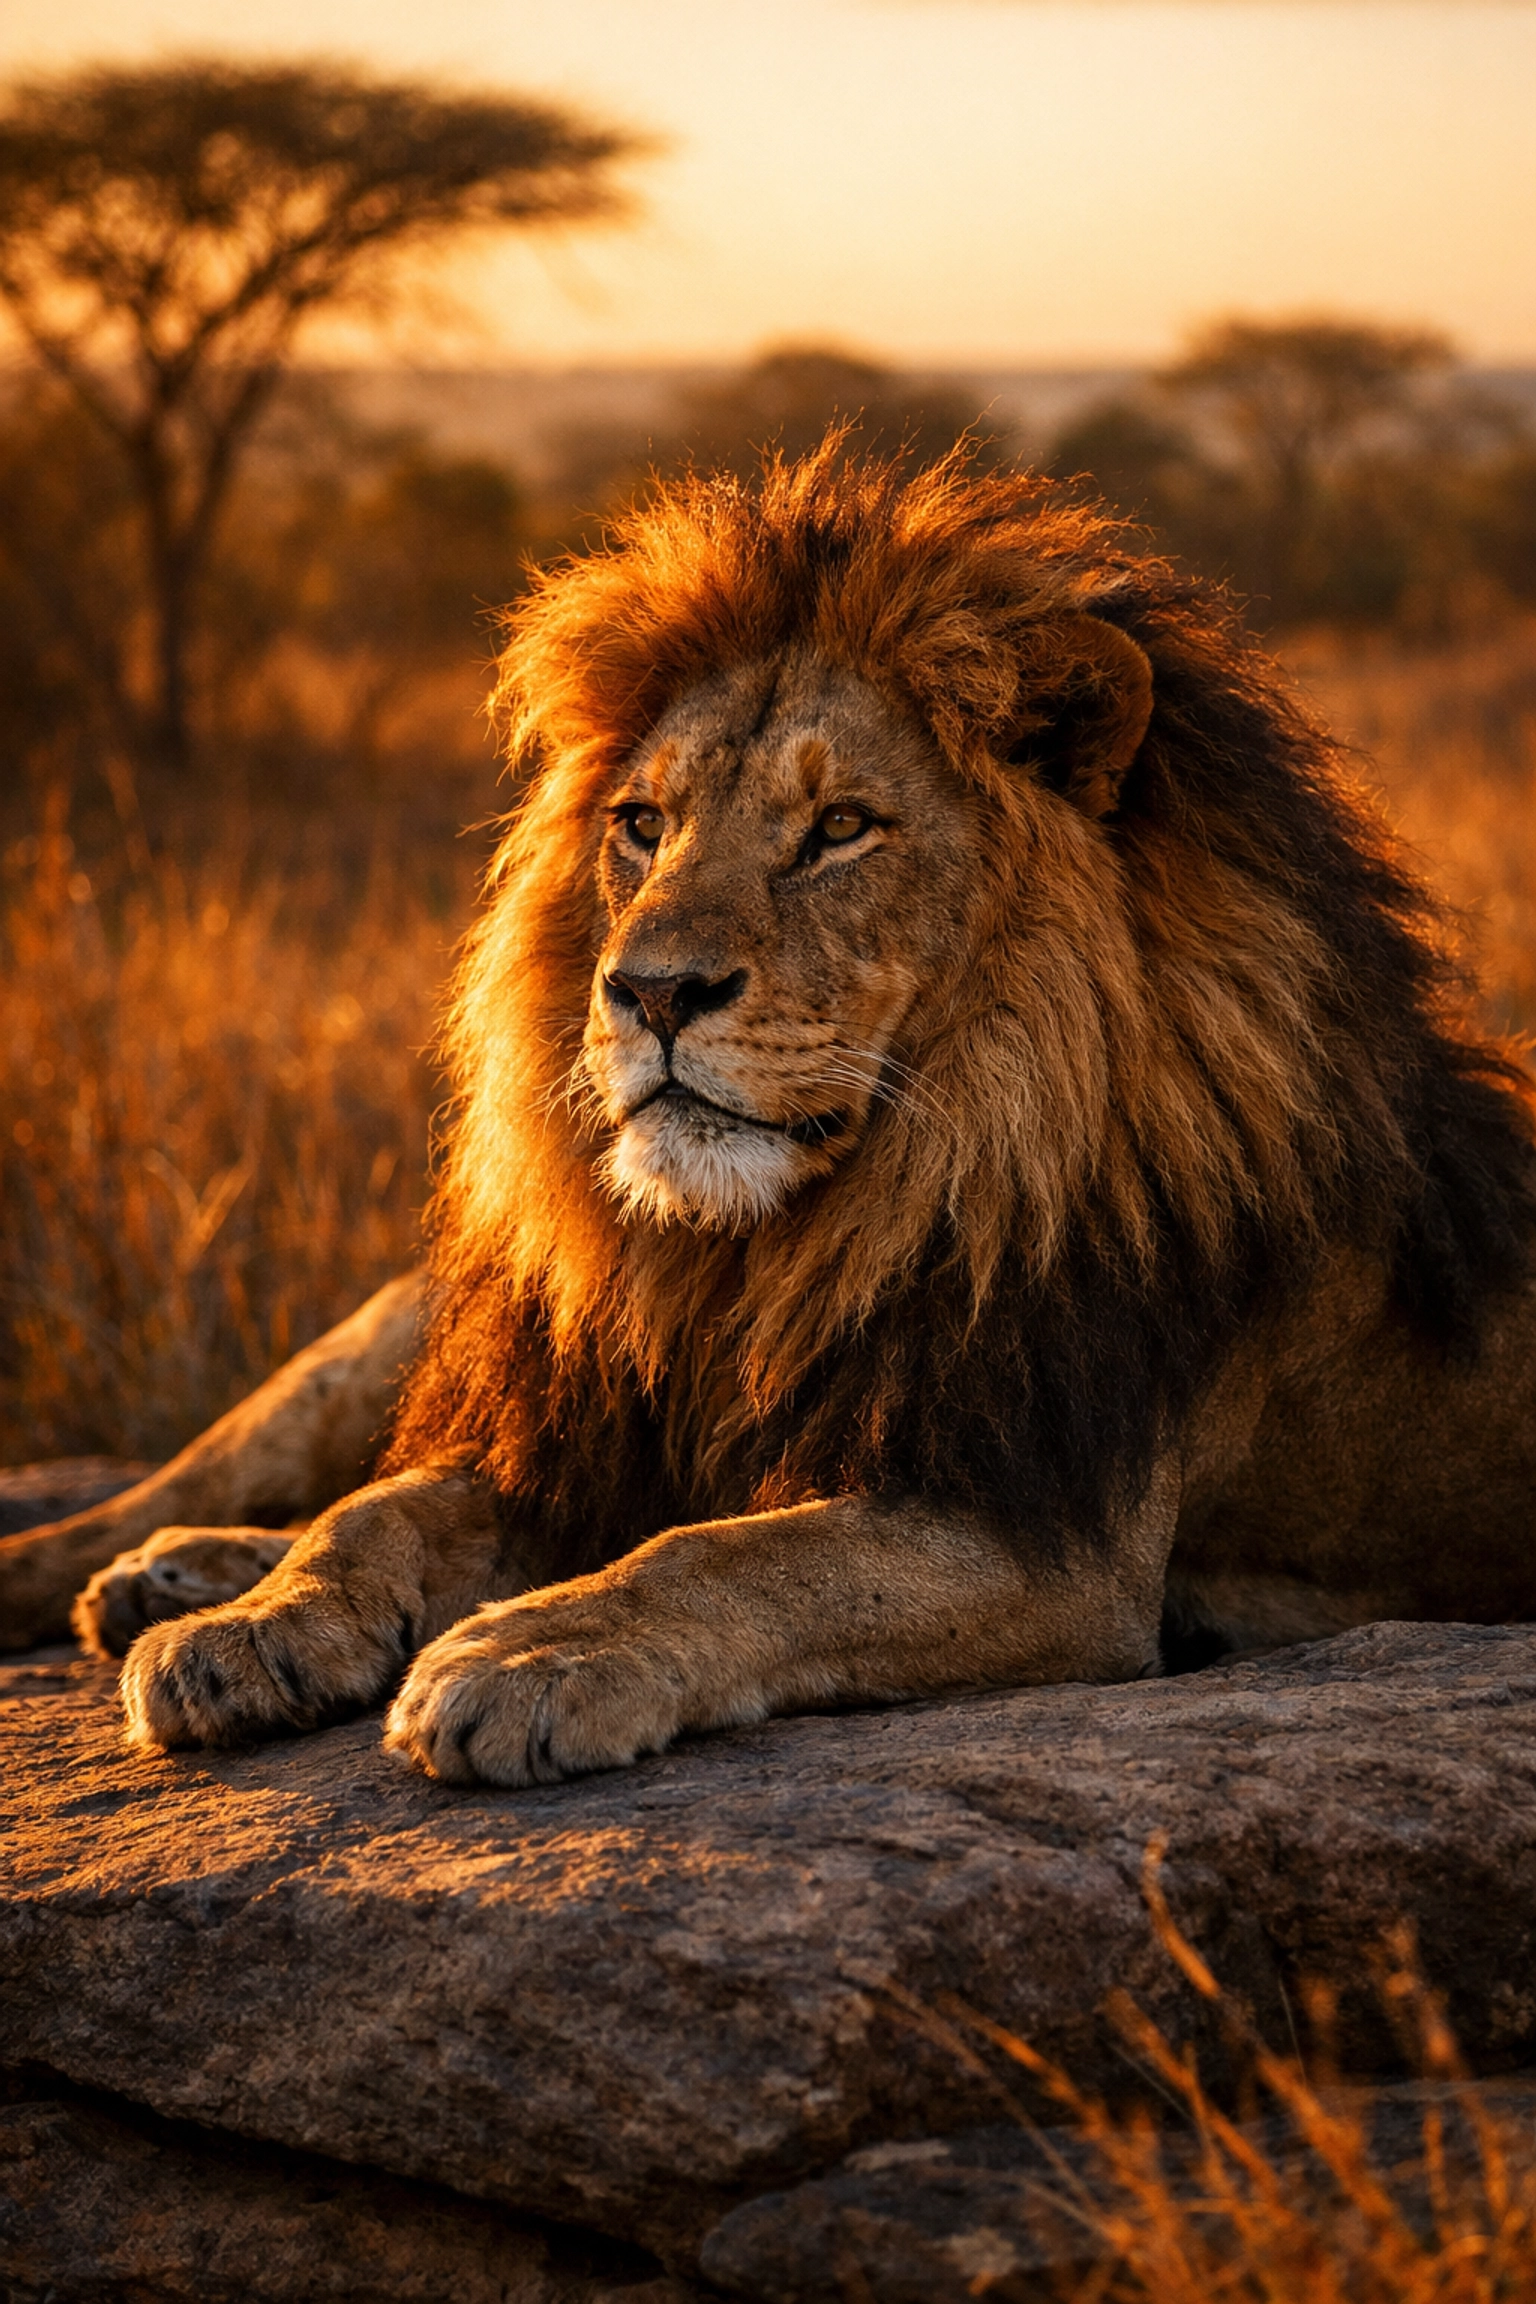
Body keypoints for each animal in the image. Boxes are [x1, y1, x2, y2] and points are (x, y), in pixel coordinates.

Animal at [6, 441, 1536, 1790]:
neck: (775, 1246)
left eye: (842, 828)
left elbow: (732, 1552)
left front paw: (533, 1654)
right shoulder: (589, 1424)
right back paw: (160, 1572)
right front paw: (258, 1626)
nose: (648, 991)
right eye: (642, 825)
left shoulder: (1056, 1536)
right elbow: (379, 1506)